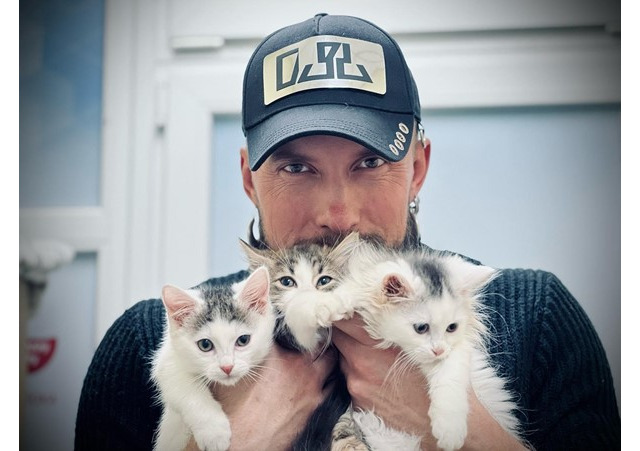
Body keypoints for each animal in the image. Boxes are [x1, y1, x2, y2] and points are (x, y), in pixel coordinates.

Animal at [150, 266, 274, 451]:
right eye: (205, 345)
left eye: (243, 340)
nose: (227, 367)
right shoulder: (168, 361)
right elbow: (185, 388)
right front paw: (214, 433)